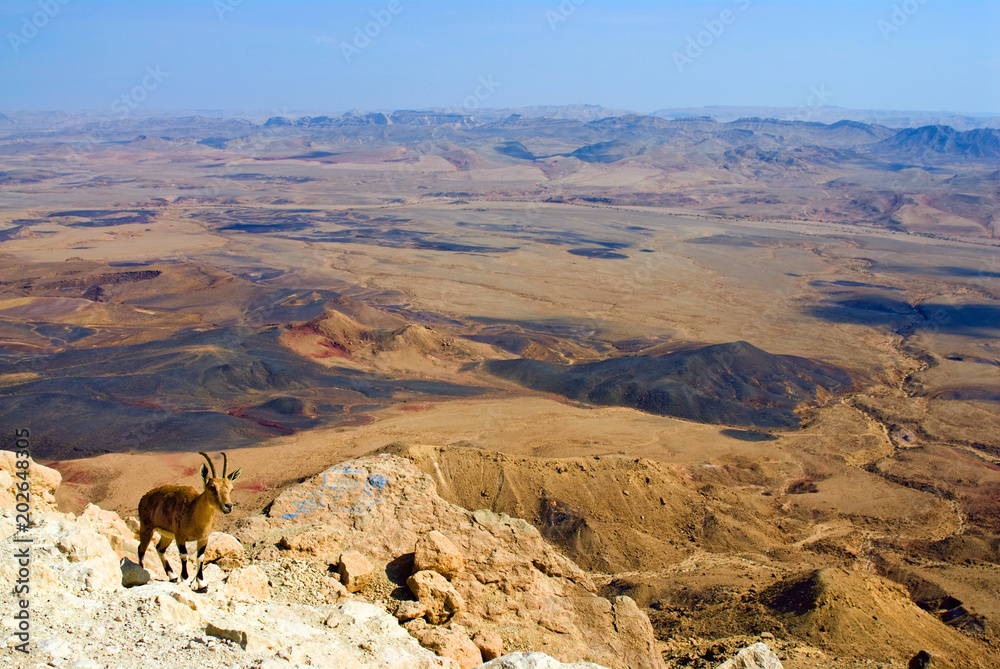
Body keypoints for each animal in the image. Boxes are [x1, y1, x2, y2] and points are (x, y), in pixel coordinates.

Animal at [138, 451, 241, 591]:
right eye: (212, 487)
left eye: (231, 488)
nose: (228, 506)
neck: (194, 513)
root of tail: (143, 498)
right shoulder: (180, 537)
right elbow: (184, 555)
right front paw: (185, 579)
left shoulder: (203, 538)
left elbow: (200, 557)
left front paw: (202, 585)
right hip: (146, 527)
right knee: (141, 549)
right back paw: (142, 573)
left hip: (167, 535)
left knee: (159, 548)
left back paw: (173, 576)